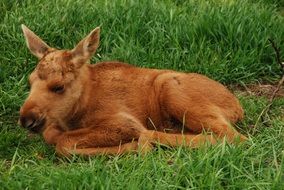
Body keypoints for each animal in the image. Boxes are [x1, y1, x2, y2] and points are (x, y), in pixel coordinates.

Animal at [19, 24, 246, 157]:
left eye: (59, 86)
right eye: (30, 82)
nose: (26, 119)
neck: (76, 112)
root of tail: (238, 108)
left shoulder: (124, 122)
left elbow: (63, 143)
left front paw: (131, 146)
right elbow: (53, 135)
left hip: (171, 89)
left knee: (234, 138)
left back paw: (148, 141)